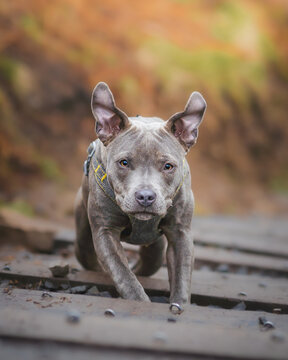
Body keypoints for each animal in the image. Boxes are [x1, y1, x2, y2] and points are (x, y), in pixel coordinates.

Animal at [74, 81, 205, 312]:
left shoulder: (180, 233)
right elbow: (124, 276)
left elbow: (181, 277)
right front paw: (140, 301)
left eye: (168, 166)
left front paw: (179, 305)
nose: (145, 196)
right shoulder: (105, 232)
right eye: (124, 163)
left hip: (156, 250)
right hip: (83, 235)